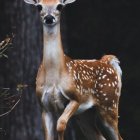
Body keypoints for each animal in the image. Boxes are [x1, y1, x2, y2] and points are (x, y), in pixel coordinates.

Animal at [24, 0, 122, 140]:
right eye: (39, 6)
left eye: (59, 6)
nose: (49, 18)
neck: (53, 78)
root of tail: (108, 62)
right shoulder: (44, 106)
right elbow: (48, 135)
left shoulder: (76, 97)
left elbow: (61, 124)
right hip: (85, 114)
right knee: (99, 137)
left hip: (109, 104)